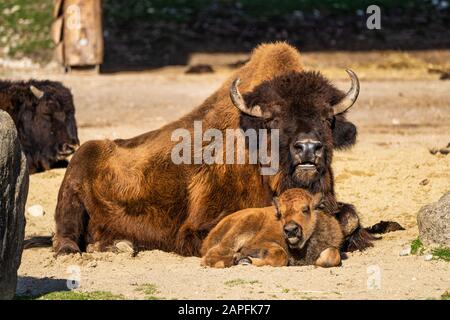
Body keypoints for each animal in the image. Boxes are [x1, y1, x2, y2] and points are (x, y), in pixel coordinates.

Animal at [51, 43, 372, 258]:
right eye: (274, 119)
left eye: (327, 118)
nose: (307, 148)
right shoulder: (199, 225)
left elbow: (349, 218)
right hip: (75, 174)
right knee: (64, 228)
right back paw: (73, 249)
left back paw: (121, 244)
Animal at [200, 188, 342, 268]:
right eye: (280, 213)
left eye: (305, 209)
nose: (290, 230)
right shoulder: (255, 244)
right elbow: (280, 255)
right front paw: (246, 260)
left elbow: (332, 256)